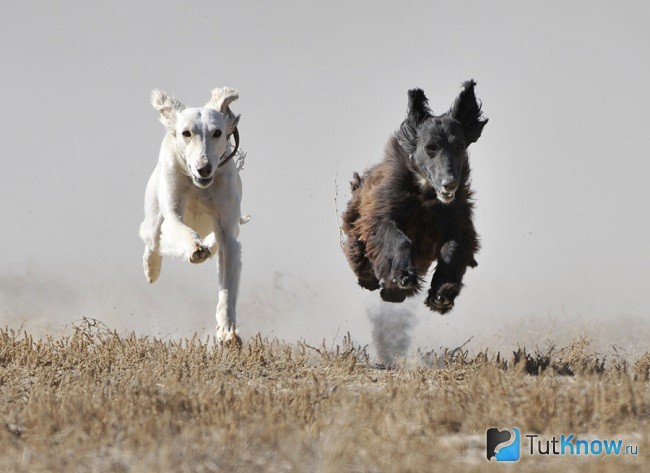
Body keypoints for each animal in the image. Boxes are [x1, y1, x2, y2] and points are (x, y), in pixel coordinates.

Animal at [139, 85, 243, 342]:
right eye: (186, 133)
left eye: (217, 132)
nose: (203, 168)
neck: (199, 186)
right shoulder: (172, 214)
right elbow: (180, 229)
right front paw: (195, 248)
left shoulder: (228, 230)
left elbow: (227, 285)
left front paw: (227, 331)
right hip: (154, 219)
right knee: (153, 240)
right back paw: (151, 267)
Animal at [342, 80, 484, 314]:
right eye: (430, 147)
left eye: (458, 145)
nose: (450, 183)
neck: (425, 193)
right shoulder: (383, 210)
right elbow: (397, 237)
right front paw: (404, 275)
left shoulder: (455, 221)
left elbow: (454, 246)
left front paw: (443, 292)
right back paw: (373, 279)